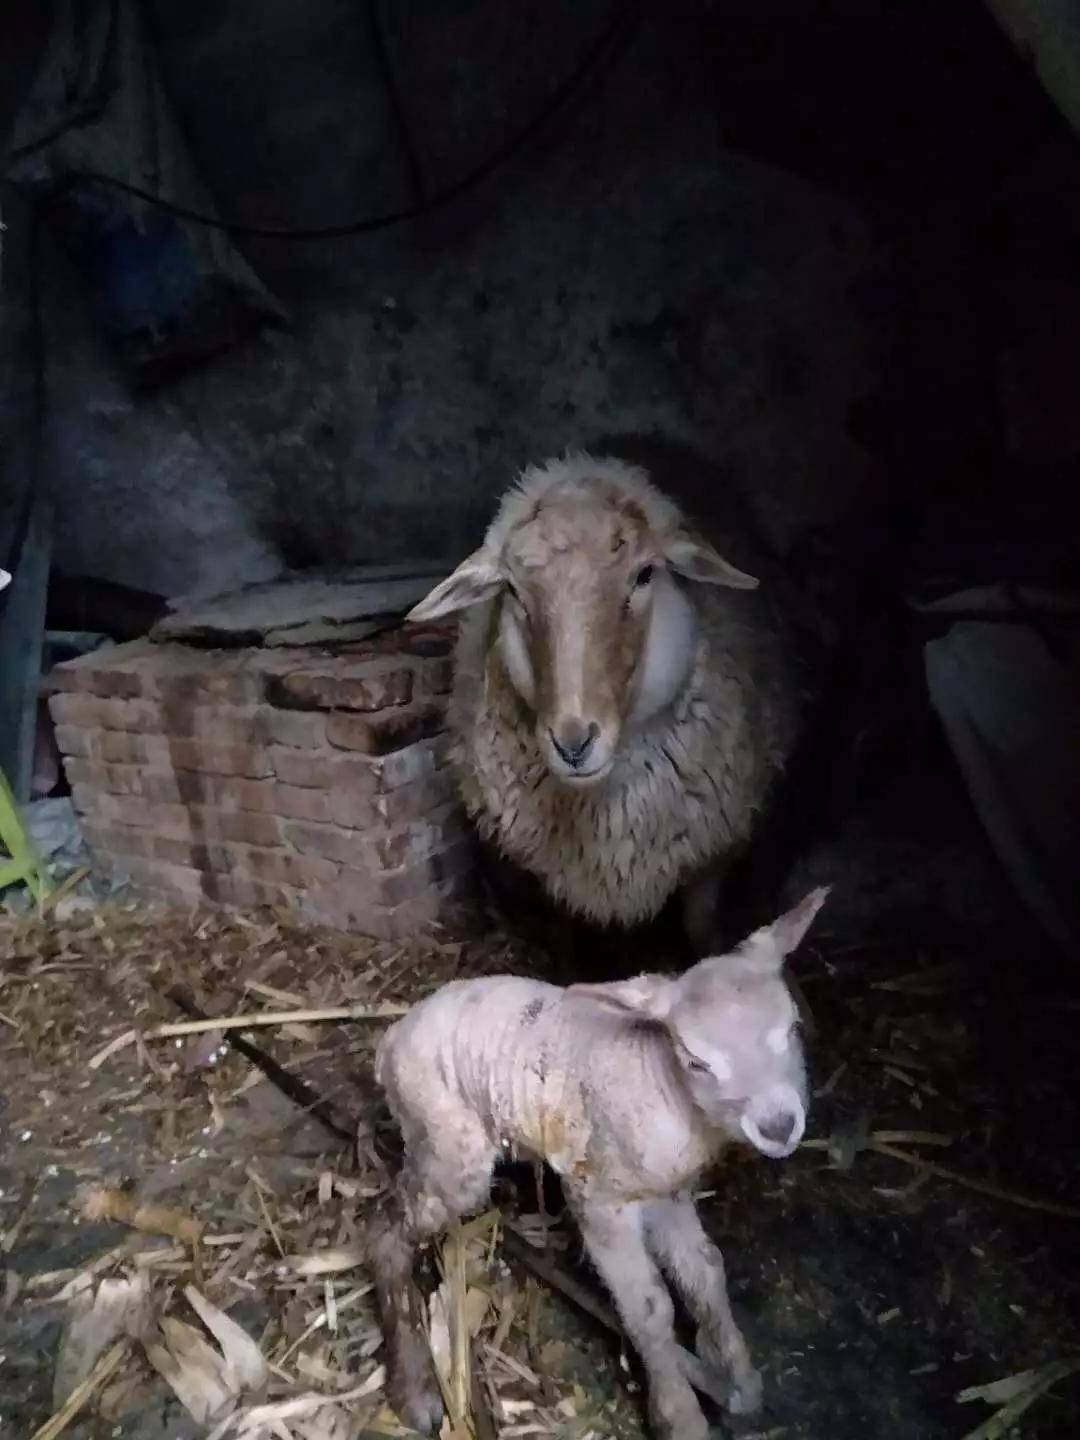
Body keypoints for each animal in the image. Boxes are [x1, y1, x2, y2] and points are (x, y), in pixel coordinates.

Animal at [371, 881, 829, 1434]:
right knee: (386, 1233)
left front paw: (737, 1379)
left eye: (793, 1028)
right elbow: (649, 1307)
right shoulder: (598, 1198)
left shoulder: (667, 1192)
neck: (660, 1083)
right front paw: (679, 1415)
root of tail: (391, 1039)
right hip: (446, 1143)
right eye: (695, 1061)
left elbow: (705, 1273)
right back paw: (414, 1388)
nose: (778, 1125)